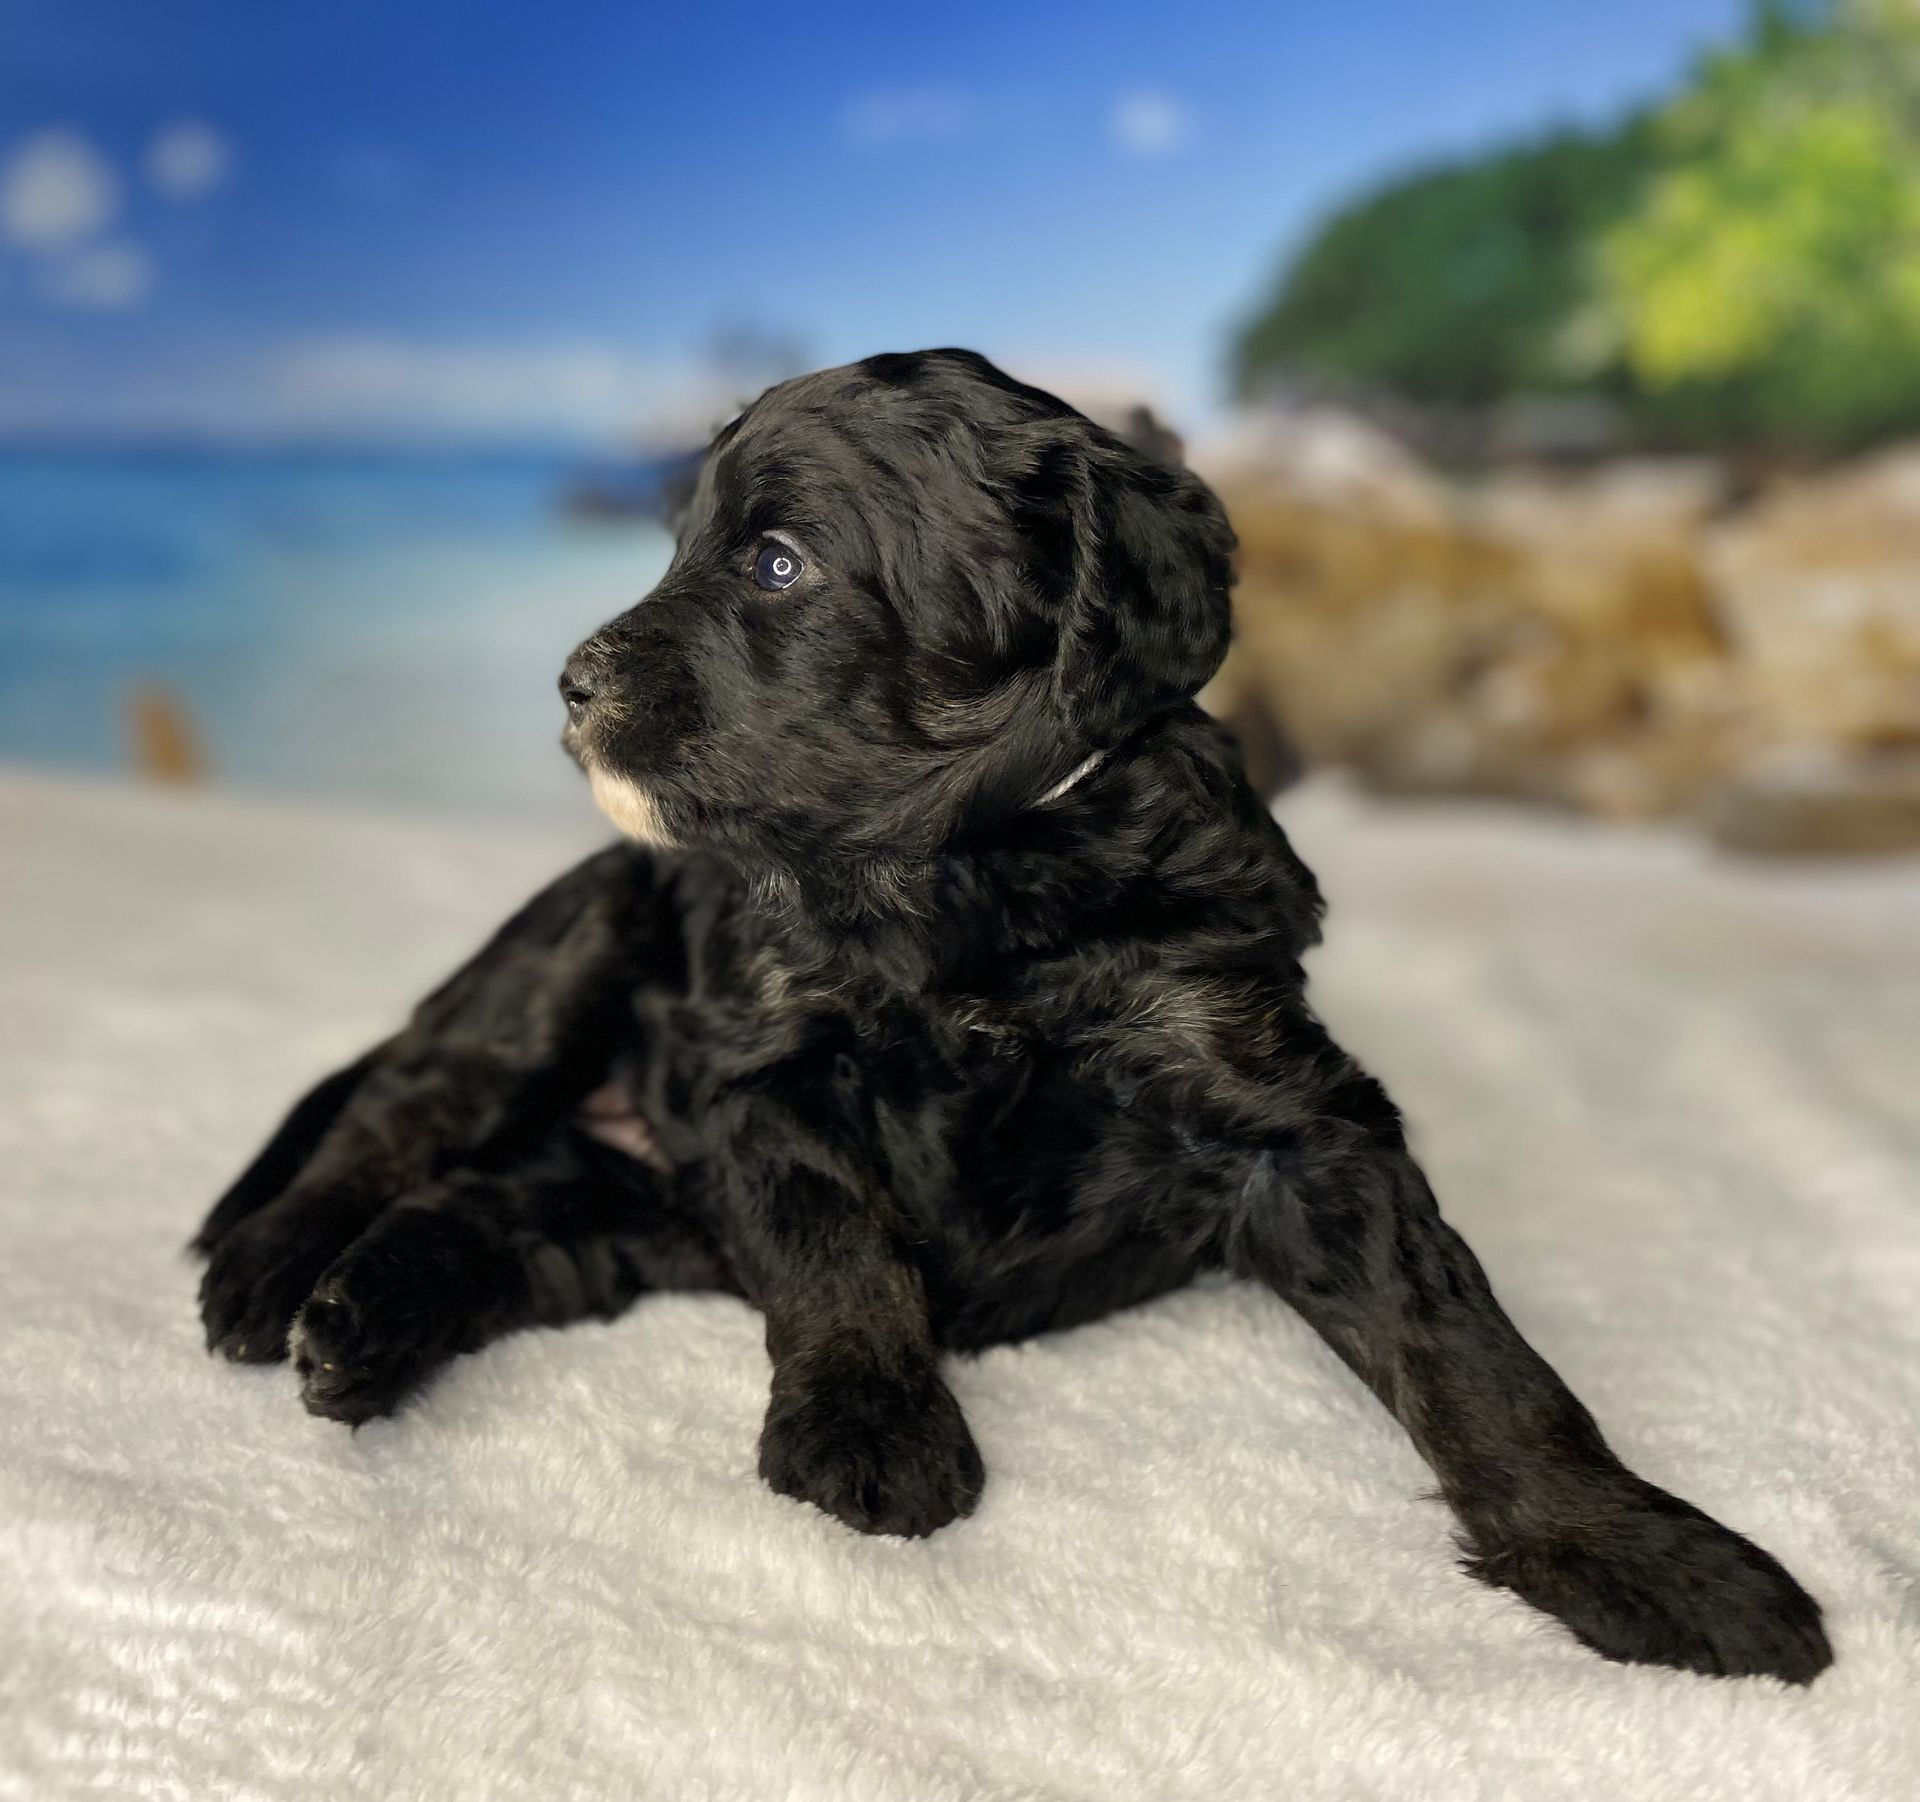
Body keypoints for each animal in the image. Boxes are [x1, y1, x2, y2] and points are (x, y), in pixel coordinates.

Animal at [194, 355, 1827, 1688]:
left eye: (778, 563)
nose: (573, 682)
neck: (971, 868)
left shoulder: (1287, 1110)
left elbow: (1473, 1353)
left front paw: (1643, 1552)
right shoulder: (760, 1065)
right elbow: (839, 1241)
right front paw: (871, 1428)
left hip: (616, 1208)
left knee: (487, 1210)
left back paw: (362, 1325)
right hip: (576, 945)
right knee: (409, 1103)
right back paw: (272, 1269)